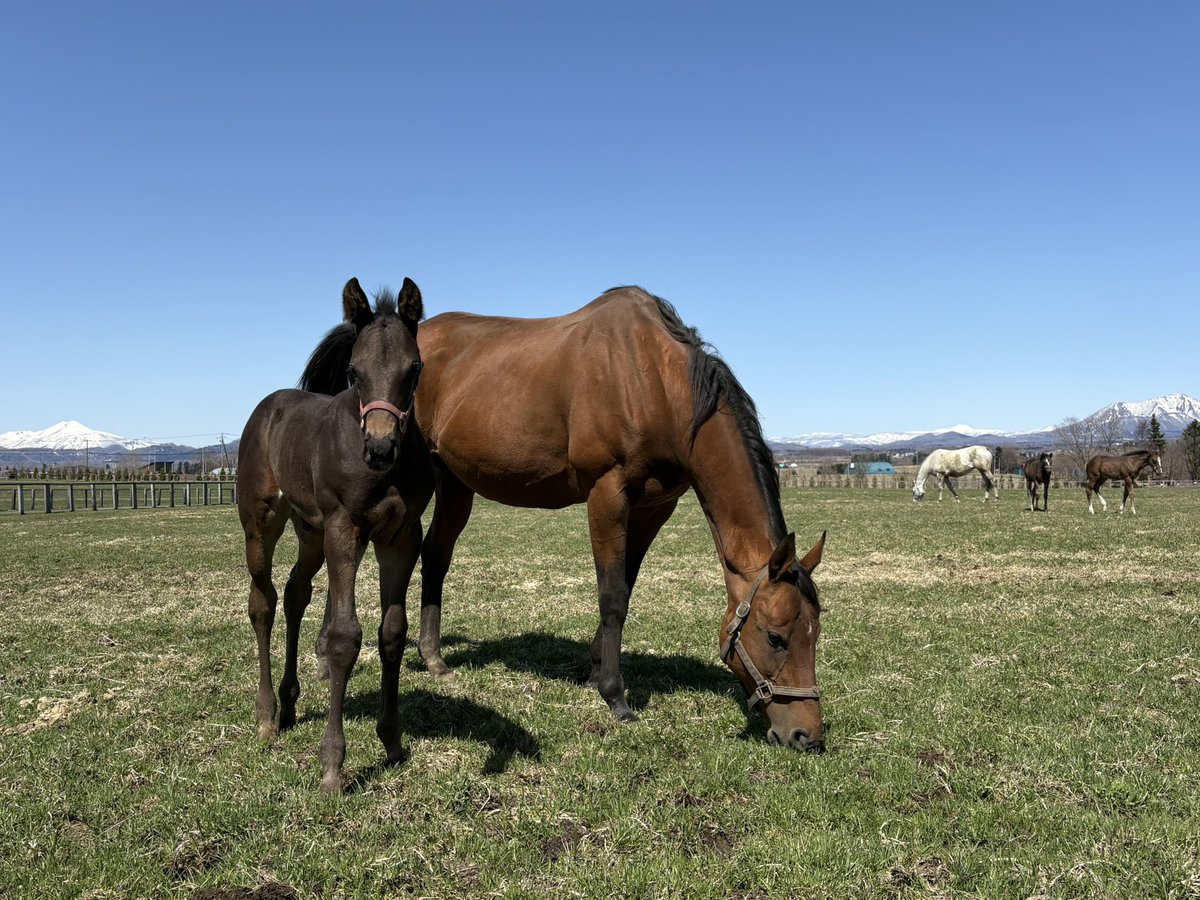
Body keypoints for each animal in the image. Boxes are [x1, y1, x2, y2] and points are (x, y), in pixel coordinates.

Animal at [237, 278, 433, 792]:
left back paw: (289, 704)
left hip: (310, 531)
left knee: (295, 592)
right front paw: (332, 766)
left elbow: (392, 632)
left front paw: (391, 739)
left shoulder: (401, 536)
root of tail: (269, 406)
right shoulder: (345, 528)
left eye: (415, 368)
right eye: (353, 371)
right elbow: (344, 637)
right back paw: (266, 717)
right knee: (263, 602)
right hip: (261, 521)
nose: (380, 447)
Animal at [406, 286, 827, 752]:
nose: (807, 734)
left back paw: (433, 657)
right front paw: (615, 696)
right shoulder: (607, 494)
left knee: (436, 555)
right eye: (774, 636)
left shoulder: (653, 507)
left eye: (815, 633)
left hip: (455, 482)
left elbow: (626, 583)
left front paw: (594, 671)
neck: (654, 382)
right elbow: (612, 596)